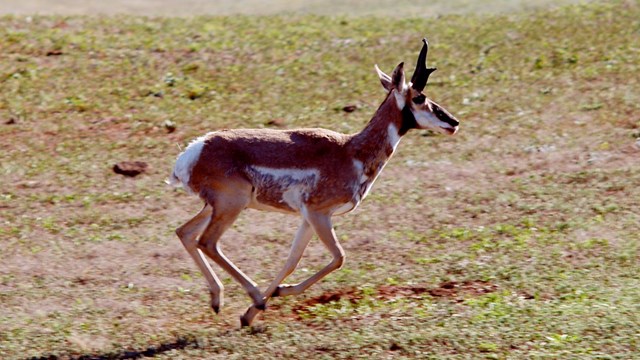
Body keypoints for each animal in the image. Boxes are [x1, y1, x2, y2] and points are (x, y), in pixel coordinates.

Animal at [169, 39, 460, 326]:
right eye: (419, 97)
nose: (454, 122)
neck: (351, 151)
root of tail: (195, 149)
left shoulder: (308, 218)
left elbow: (292, 261)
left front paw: (254, 310)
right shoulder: (319, 214)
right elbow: (339, 257)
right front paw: (269, 299)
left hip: (215, 207)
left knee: (185, 233)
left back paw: (220, 300)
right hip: (232, 205)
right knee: (207, 242)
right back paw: (255, 297)